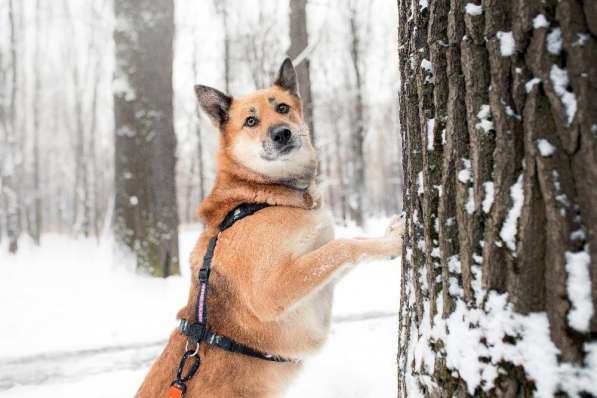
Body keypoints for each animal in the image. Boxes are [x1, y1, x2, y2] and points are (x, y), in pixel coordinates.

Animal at [134, 57, 402, 396]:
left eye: (283, 108)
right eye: (251, 121)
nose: (282, 133)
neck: (261, 194)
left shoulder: (314, 275)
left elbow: (349, 246)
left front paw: (388, 238)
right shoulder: (272, 293)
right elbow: (345, 245)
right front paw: (396, 241)